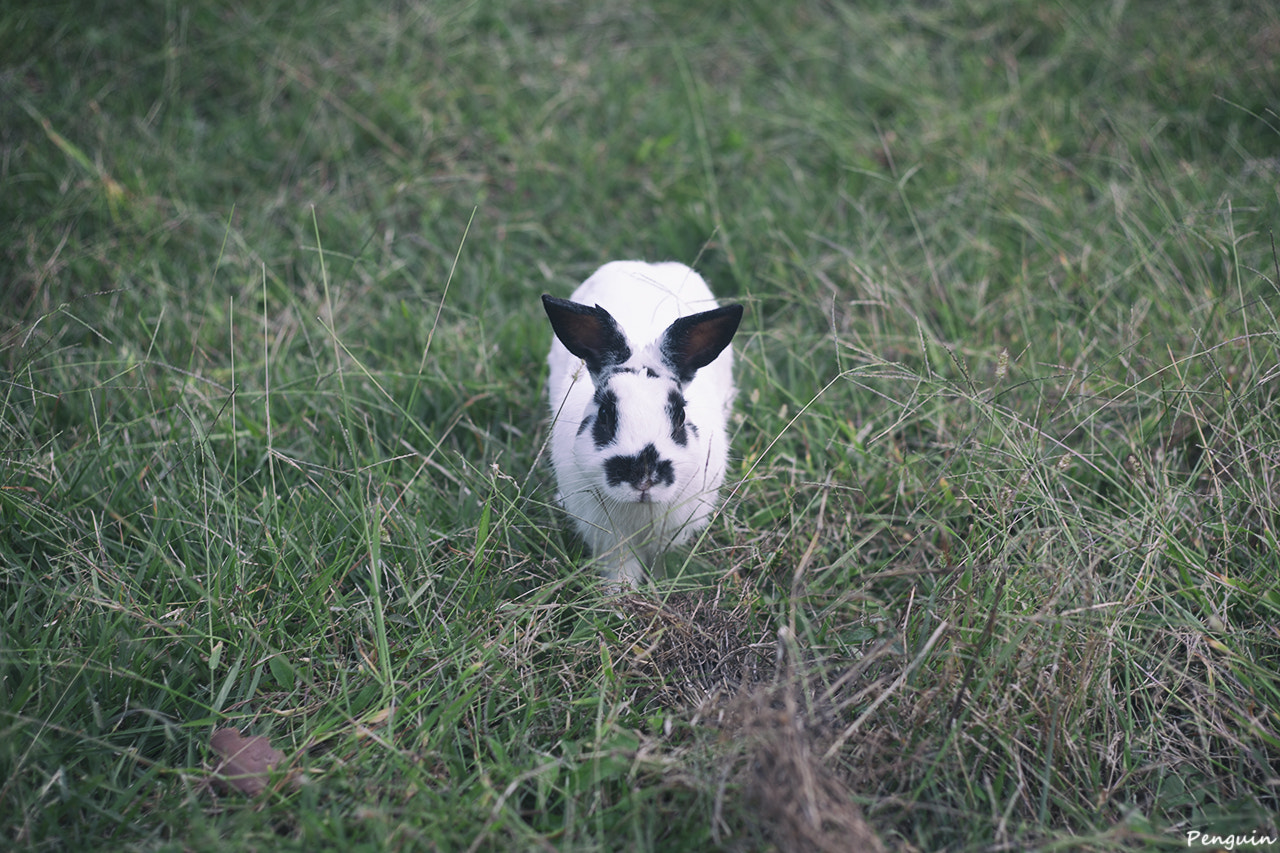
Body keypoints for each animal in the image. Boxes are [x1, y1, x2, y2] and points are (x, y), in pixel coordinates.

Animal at [542, 260, 744, 587]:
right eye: (605, 414)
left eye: (680, 416)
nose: (644, 479)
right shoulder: (612, 538)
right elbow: (621, 565)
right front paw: (620, 594)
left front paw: (661, 588)